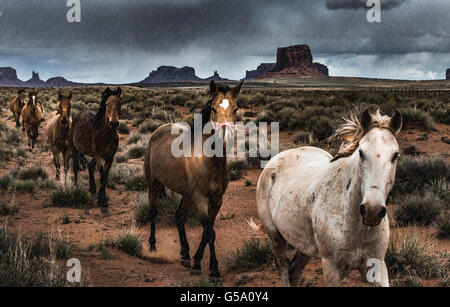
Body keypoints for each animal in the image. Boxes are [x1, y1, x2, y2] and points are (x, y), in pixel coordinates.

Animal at [143, 80, 243, 282]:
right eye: (213, 108)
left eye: (236, 109)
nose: (225, 139)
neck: (210, 162)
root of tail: (158, 130)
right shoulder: (200, 198)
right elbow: (209, 232)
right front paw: (211, 269)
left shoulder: (217, 200)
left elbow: (208, 232)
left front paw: (198, 262)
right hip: (154, 184)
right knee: (154, 212)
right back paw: (153, 247)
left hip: (186, 194)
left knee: (179, 216)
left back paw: (185, 254)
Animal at [255, 109, 402, 288]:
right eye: (361, 153)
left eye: (395, 155)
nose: (372, 210)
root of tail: (278, 157)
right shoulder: (331, 268)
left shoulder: (377, 265)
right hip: (275, 237)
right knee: (284, 270)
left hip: (305, 245)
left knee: (294, 271)